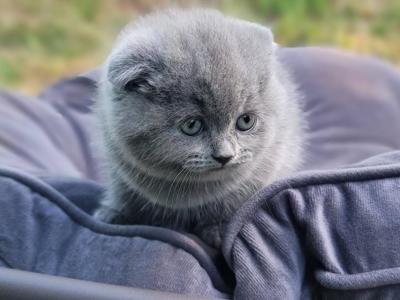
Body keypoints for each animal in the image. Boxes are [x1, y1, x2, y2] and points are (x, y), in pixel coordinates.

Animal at [93, 8, 304, 248]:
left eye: (245, 121)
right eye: (192, 125)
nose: (225, 156)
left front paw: (219, 228)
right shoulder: (118, 168)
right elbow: (122, 193)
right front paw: (111, 214)